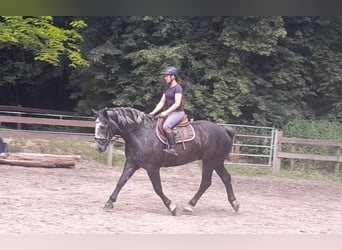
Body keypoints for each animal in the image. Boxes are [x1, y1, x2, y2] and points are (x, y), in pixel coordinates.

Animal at [92, 106, 239, 214]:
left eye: (103, 126)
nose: (99, 147)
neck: (139, 133)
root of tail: (223, 129)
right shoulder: (132, 163)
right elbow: (121, 182)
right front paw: (109, 202)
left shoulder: (152, 168)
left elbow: (157, 188)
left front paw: (171, 206)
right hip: (217, 162)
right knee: (226, 178)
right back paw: (234, 203)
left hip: (209, 162)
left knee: (206, 182)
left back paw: (190, 205)